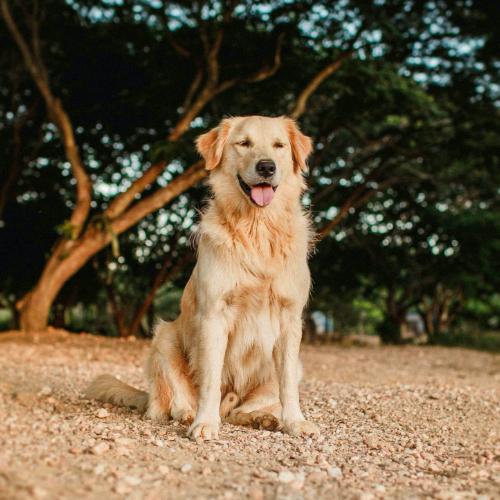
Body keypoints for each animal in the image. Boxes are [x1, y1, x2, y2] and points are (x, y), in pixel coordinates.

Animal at [86, 115, 318, 440]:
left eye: (279, 145)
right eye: (244, 143)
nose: (266, 167)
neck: (257, 229)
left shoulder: (290, 320)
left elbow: (287, 387)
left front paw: (295, 421)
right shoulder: (213, 315)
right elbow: (210, 380)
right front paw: (205, 423)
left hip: (296, 366)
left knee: (237, 411)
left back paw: (260, 418)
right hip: (164, 337)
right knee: (169, 405)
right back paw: (188, 414)